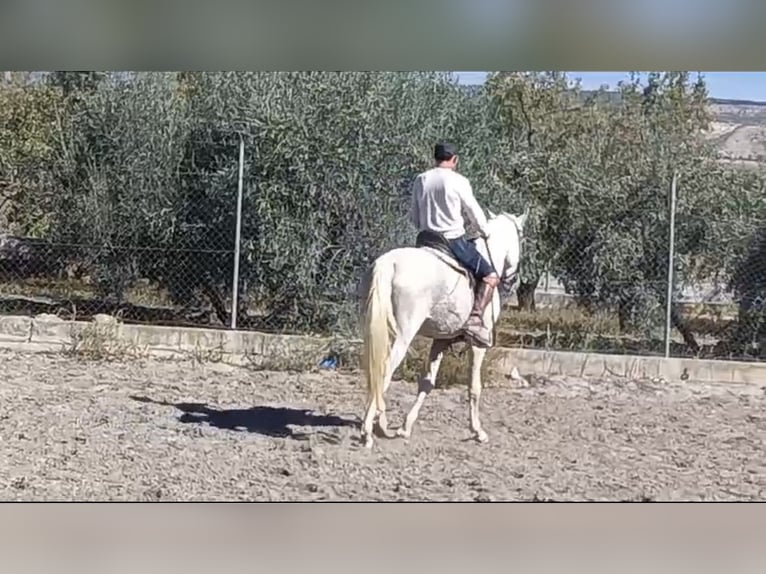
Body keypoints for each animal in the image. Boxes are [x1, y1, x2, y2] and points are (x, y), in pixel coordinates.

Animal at [358, 209, 528, 452]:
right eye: (521, 238)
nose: (513, 282)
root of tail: (389, 263)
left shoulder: (441, 340)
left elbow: (427, 382)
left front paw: (406, 427)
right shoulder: (478, 344)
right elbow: (474, 387)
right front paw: (478, 432)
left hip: (373, 330)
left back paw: (378, 424)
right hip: (402, 335)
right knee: (384, 371)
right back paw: (371, 429)